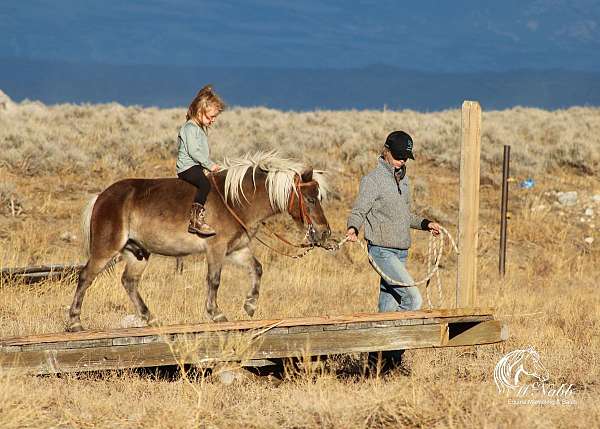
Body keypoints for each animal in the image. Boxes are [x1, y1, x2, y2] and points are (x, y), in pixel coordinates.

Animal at [70, 150, 332, 332]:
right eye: (310, 199)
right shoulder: (216, 248)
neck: (236, 201)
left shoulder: (237, 249)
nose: (324, 233)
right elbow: (214, 280)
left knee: (129, 282)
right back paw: (74, 323)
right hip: (106, 249)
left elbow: (257, 269)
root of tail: (101, 197)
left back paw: (151, 318)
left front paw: (250, 305)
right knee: (86, 277)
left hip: (138, 253)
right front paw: (216, 313)